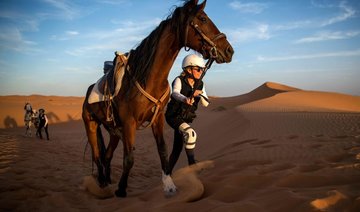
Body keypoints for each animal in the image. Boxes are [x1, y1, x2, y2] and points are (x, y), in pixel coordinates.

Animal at [82, 0, 233, 197]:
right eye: (202, 18)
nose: (229, 50)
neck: (148, 79)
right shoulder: (129, 122)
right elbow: (129, 158)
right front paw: (121, 190)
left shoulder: (158, 119)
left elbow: (162, 150)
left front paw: (169, 184)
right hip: (91, 125)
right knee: (97, 156)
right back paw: (102, 185)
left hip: (114, 130)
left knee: (106, 156)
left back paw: (107, 181)